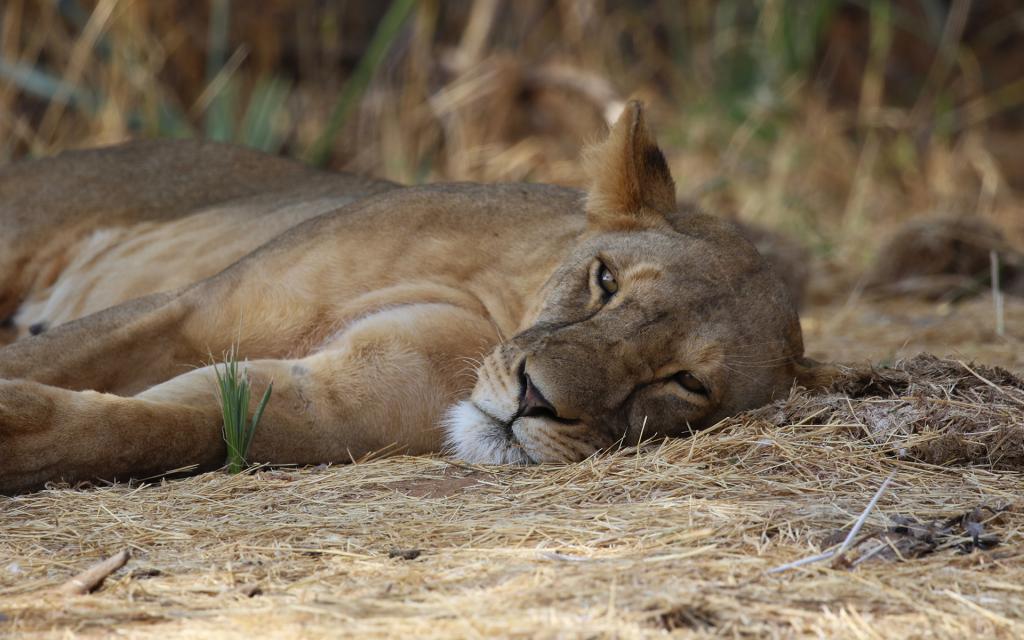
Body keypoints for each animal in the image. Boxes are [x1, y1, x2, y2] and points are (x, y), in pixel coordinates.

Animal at [0, 102, 823, 491]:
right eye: (606, 280)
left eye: (685, 383)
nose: (533, 400)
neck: (495, 309)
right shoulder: (196, 309)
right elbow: (64, 356)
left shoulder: (316, 400)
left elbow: (155, 426)